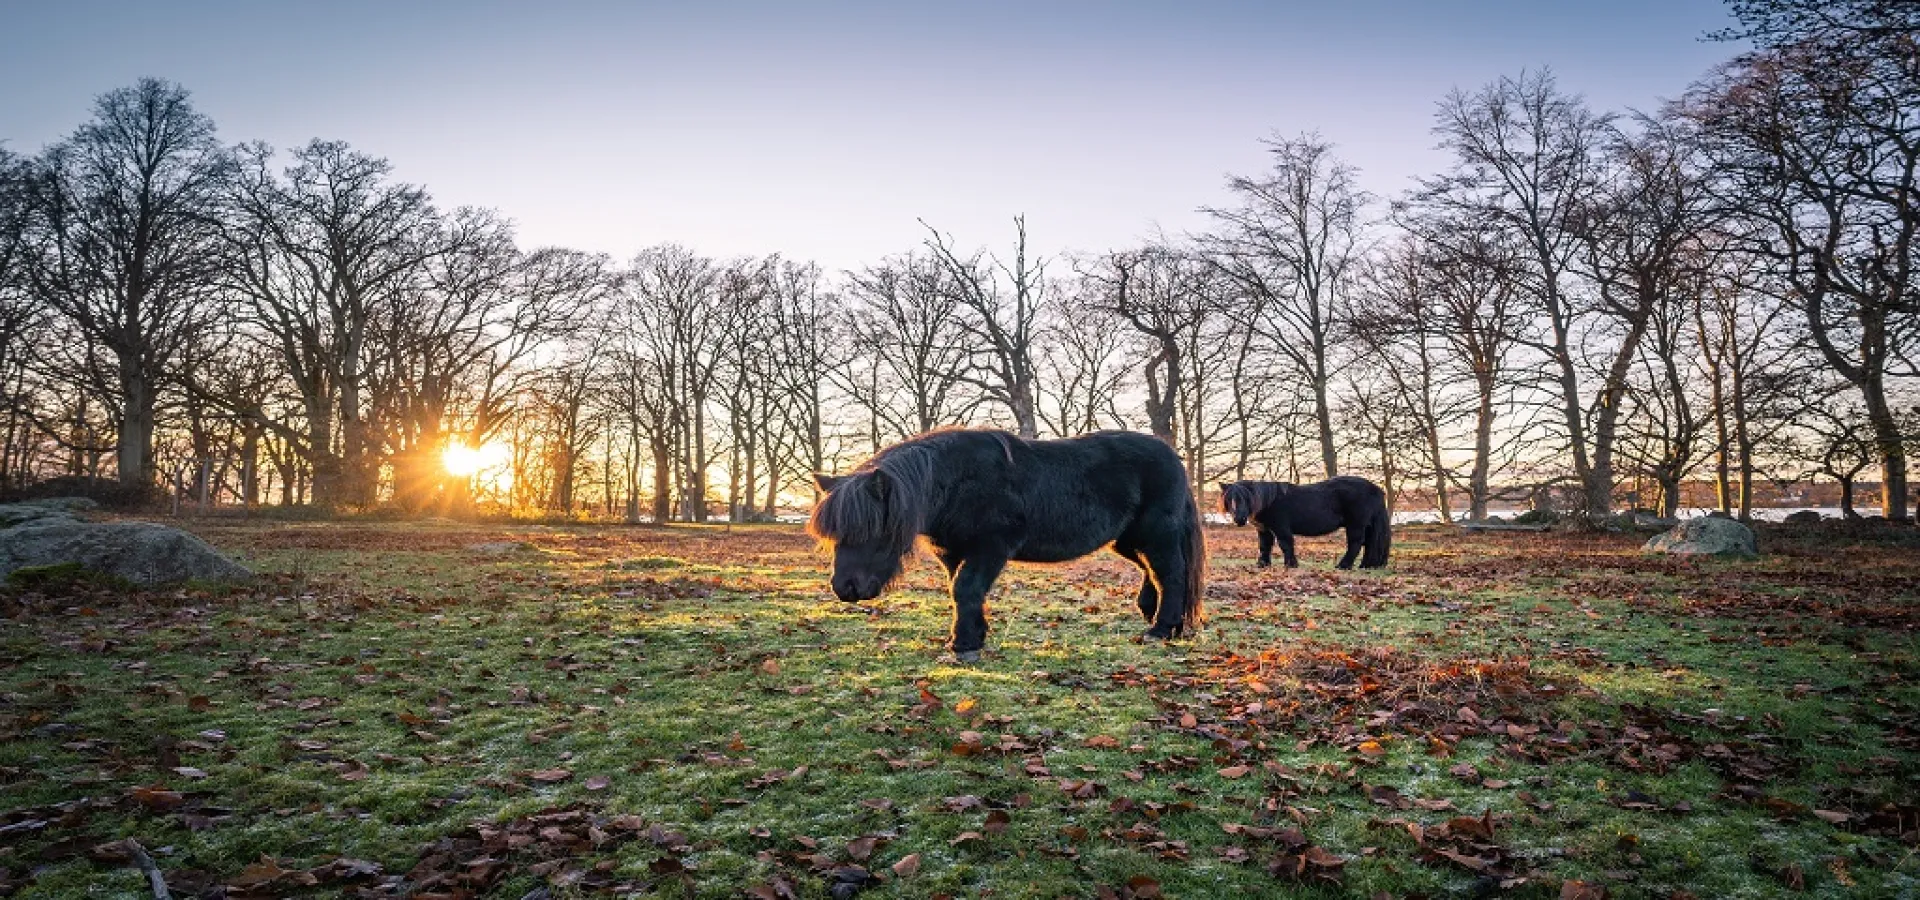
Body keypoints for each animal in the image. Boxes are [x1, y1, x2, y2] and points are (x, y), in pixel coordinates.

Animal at [806, 427, 1198, 660]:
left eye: (870, 530)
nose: (845, 588)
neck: (954, 483)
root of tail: (1172, 456)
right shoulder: (954, 553)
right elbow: (961, 591)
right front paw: (974, 636)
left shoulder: (990, 549)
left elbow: (966, 589)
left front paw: (964, 645)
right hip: (1128, 541)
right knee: (1154, 571)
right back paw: (1160, 617)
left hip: (1156, 534)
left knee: (1171, 574)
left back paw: (1161, 629)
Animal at [1221, 477, 1390, 568]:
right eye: (1229, 498)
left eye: (1246, 498)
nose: (1239, 519)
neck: (1269, 501)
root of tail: (1376, 489)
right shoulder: (1264, 530)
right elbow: (1264, 546)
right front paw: (1262, 565)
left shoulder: (1281, 528)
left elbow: (1285, 545)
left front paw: (1291, 564)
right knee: (1368, 544)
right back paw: (1365, 565)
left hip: (1356, 525)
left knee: (1356, 544)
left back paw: (1343, 566)